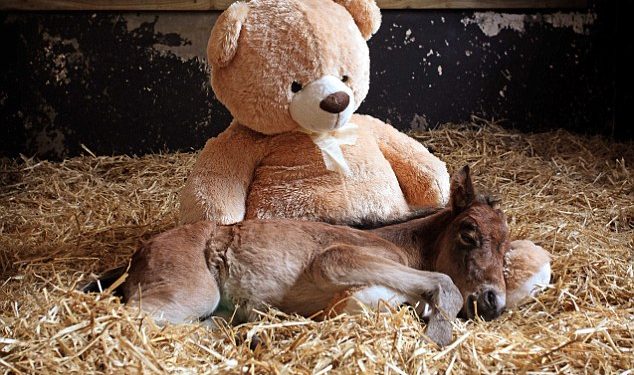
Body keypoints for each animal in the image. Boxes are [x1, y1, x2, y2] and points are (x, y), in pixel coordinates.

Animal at [86, 166, 506, 348]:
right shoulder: (337, 260)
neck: (400, 245)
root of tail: (138, 254)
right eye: (468, 232)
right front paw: (437, 335)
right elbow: (445, 286)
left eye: (506, 249)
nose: (494, 301)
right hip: (190, 294)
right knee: (133, 318)